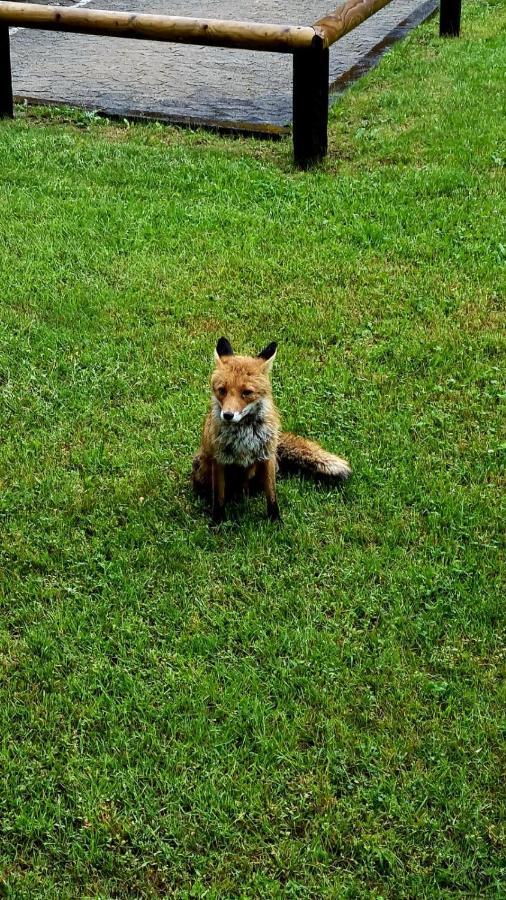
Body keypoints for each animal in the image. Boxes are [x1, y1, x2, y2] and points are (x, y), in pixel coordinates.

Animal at [191, 336, 352, 520]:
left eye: (247, 392)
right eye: (222, 390)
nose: (228, 415)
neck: (244, 436)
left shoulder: (267, 457)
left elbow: (271, 495)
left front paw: (275, 520)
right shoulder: (219, 459)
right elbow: (218, 497)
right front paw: (217, 521)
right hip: (203, 470)